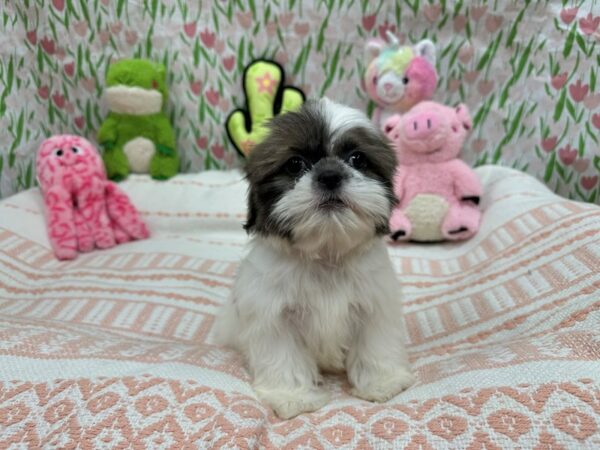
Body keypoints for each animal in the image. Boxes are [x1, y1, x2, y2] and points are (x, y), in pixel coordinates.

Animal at [213, 97, 414, 418]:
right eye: (295, 164)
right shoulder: (274, 315)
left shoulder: (374, 305)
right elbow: (283, 356)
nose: (330, 175)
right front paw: (292, 396)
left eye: (357, 159)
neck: (325, 254)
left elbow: (375, 344)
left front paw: (383, 382)